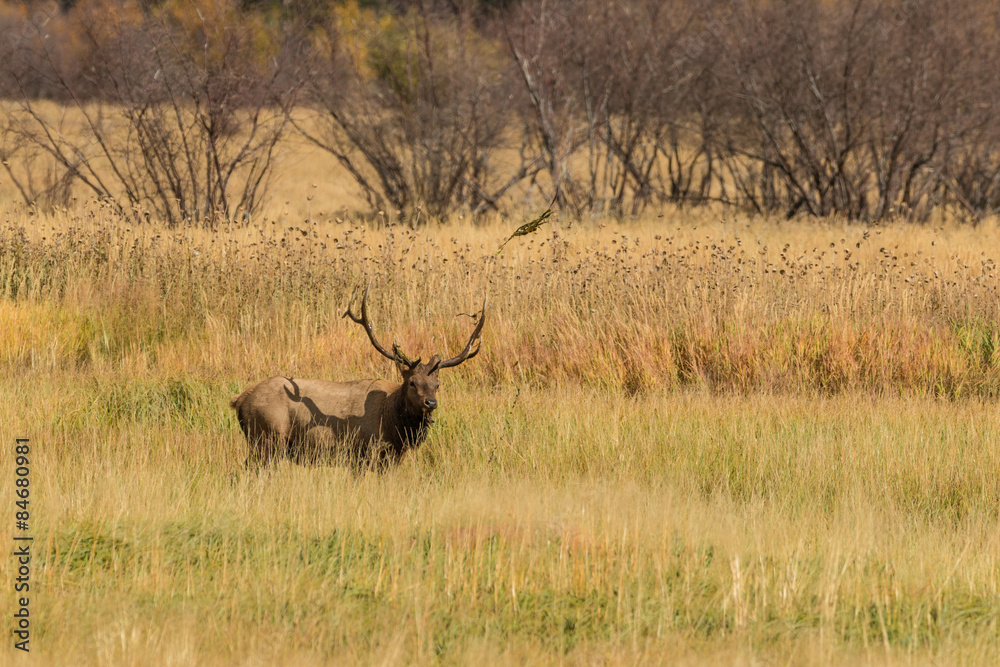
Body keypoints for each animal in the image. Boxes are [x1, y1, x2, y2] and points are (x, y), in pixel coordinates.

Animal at [230, 285, 486, 470]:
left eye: (437, 384)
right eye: (412, 383)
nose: (430, 402)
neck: (392, 421)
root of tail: (239, 400)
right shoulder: (363, 453)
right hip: (267, 438)